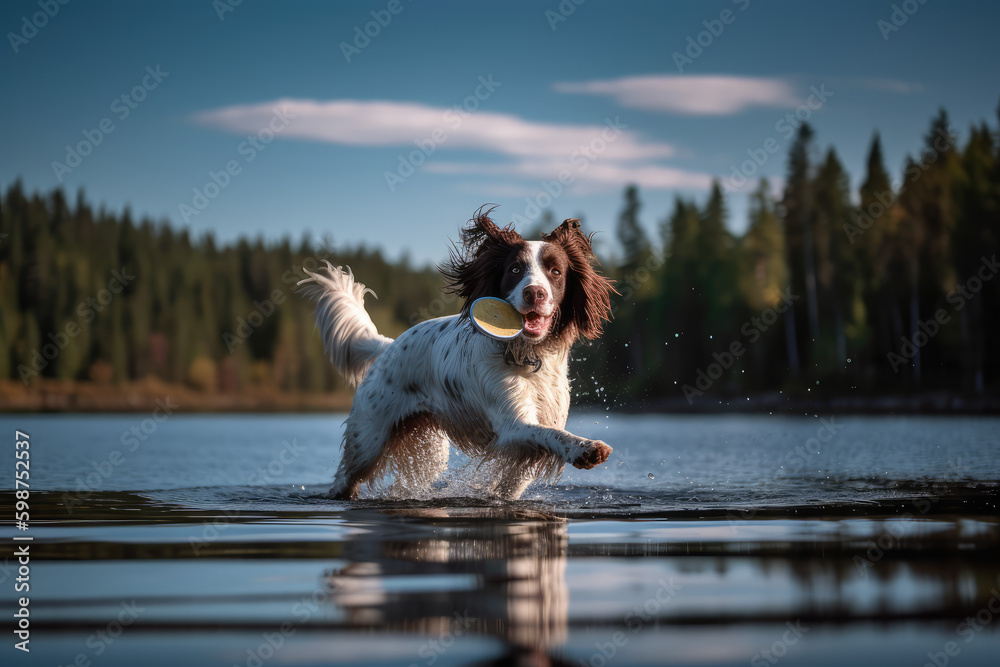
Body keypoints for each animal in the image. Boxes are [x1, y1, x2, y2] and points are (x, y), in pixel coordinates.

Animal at [300, 210, 616, 500]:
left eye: (556, 271)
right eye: (515, 270)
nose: (534, 293)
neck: (529, 356)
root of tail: (388, 345)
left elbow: (515, 480)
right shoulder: (513, 425)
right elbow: (552, 436)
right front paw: (586, 448)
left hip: (431, 452)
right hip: (367, 441)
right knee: (345, 480)